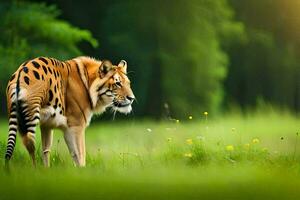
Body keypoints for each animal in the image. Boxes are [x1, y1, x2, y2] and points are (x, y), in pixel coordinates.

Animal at [4, 56, 135, 167]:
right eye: (117, 83)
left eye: (128, 83)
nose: (132, 98)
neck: (89, 84)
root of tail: (19, 74)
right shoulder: (76, 125)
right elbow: (80, 155)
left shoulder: (46, 125)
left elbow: (46, 150)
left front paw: (46, 170)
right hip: (31, 115)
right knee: (30, 143)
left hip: (18, 119)